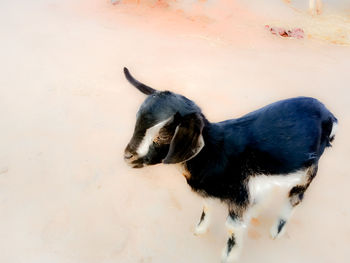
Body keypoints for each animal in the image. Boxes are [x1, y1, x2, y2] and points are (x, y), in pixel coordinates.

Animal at [123, 67, 336, 262]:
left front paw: (228, 256)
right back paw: (256, 209)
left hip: (309, 170)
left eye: (163, 135)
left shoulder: (238, 196)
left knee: (295, 197)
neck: (213, 153)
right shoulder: (220, 193)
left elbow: (232, 228)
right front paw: (199, 229)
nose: (128, 156)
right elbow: (207, 208)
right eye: (136, 122)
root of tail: (329, 115)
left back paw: (276, 230)